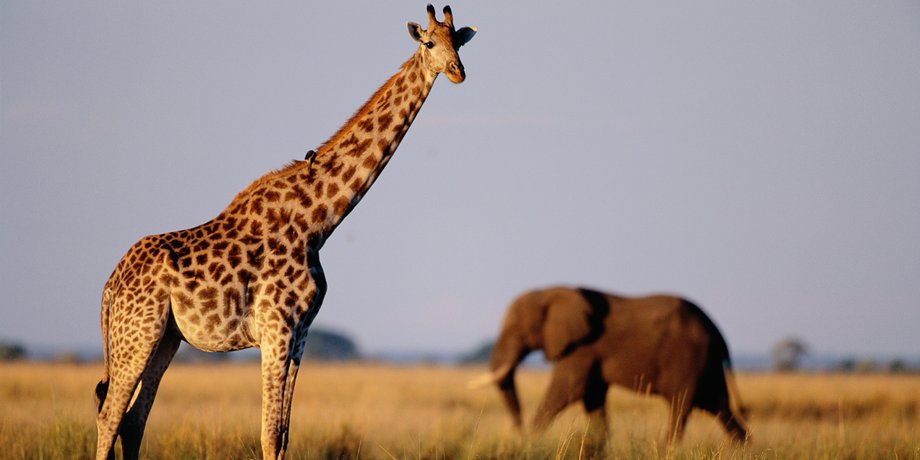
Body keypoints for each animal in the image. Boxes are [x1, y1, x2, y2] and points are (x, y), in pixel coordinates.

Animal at [93, 5, 476, 459]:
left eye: (459, 42)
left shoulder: (300, 333)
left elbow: (284, 436)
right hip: (137, 334)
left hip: (165, 338)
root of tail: (110, 286)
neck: (319, 221)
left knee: (134, 421)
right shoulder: (276, 327)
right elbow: (268, 434)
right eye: (430, 43)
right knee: (110, 415)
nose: (457, 72)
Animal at [473, 286, 748, 443]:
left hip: (688, 358)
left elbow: (569, 390)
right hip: (706, 365)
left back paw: (665, 449)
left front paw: (530, 442)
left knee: (681, 406)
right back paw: (743, 447)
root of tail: (718, 332)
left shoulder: (584, 347)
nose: (516, 432)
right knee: (718, 406)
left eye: (518, 332)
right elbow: (592, 397)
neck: (550, 291)